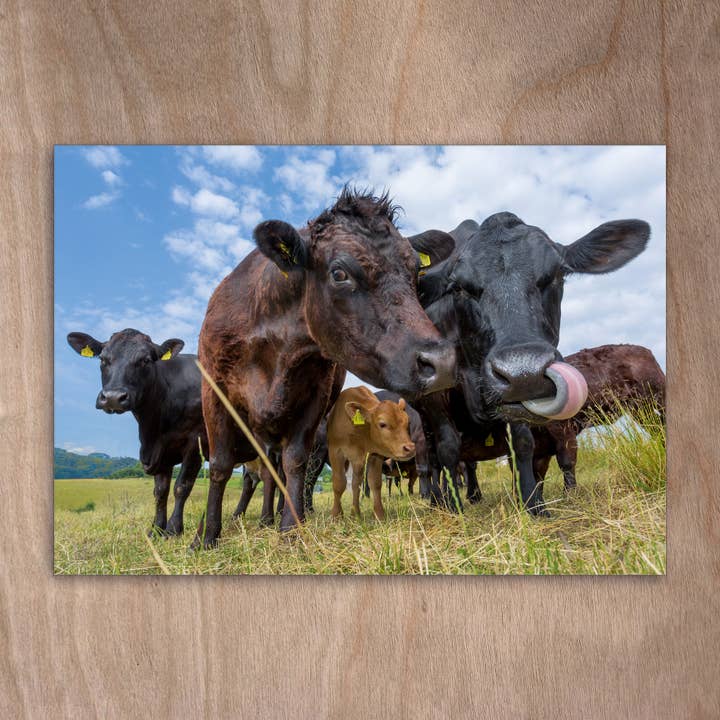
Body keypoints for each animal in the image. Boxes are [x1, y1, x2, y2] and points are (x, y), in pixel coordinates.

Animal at [67, 329, 208, 536]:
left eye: (145, 360)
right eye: (102, 358)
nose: (113, 397)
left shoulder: (195, 442)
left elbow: (181, 487)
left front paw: (173, 530)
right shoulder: (159, 452)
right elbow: (160, 491)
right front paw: (156, 530)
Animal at [327, 386, 415, 520]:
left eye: (408, 423)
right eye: (382, 424)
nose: (410, 448)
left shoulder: (375, 455)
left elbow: (375, 482)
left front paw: (379, 515)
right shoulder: (335, 452)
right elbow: (339, 483)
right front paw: (336, 515)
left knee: (356, 484)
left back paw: (355, 513)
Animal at [414, 212, 650, 515]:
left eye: (558, 274)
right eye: (459, 287)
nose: (523, 372)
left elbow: (523, 444)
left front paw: (532, 503)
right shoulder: (435, 395)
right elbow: (448, 448)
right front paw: (454, 508)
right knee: (436, 458)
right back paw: (439, 499)